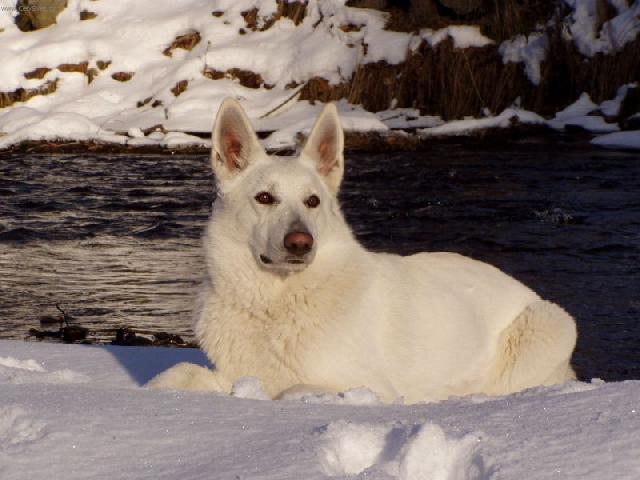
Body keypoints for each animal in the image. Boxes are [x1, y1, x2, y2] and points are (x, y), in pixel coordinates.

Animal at [148, 96, 576, 402]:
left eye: (312, 201)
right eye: (265, 198)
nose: (301, 243)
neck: (276, 303)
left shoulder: (367, 387)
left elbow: (292, 390)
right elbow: (174, 375)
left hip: (549, 325)